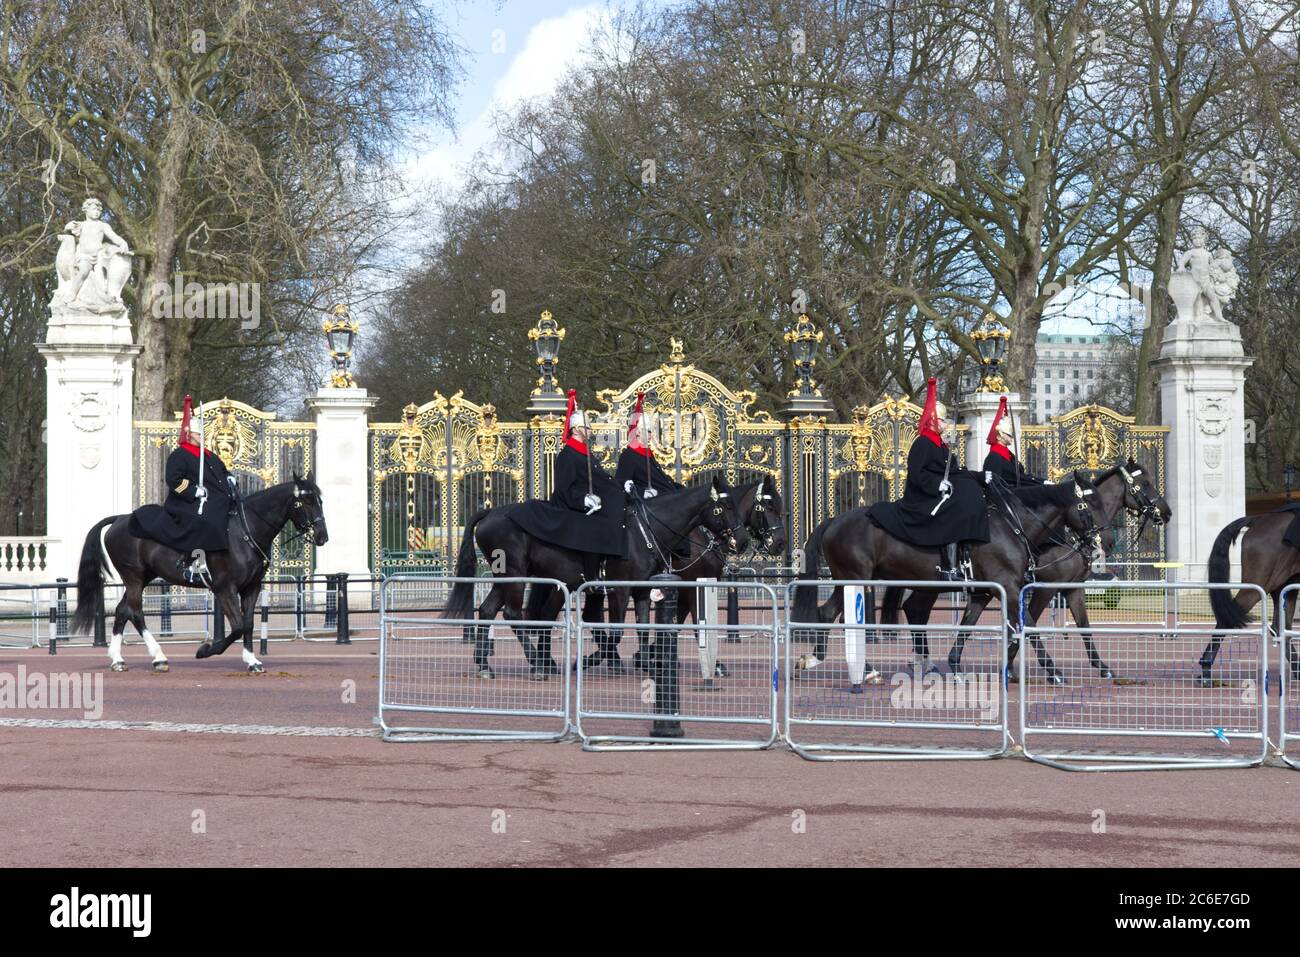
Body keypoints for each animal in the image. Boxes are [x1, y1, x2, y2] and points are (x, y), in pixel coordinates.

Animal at [69, 475, 330, 670]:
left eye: (320, 500)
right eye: (306, 501)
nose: (322, 536)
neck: (245, 532)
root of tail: (121, 519)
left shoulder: (251, 587)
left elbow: (248, 624)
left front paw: (252, 660)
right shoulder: (225, 588)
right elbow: (238, 626)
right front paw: (206, 650)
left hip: (143, 578)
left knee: (123, 610)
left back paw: (118, 659)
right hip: (133, 577)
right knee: (135, 612)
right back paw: (158, 657)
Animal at [441, 478, 748, 681]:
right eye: (725, 506)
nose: (742, 541)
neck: (645, 531)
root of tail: (491, 511)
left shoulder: (643, 590)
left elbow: (644, 628)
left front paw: (647, 662)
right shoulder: (620, 591)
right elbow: (616, 632)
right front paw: (595, 660)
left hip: (506, 578)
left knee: (488, 610)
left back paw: (486, 665)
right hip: (515, 574)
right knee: (513, 614)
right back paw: (538, 665)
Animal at [785, 468, 1102, 681]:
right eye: (1088, 507)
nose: (1096, 548)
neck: (1012, 524)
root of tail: (833, 520)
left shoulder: (988, 592)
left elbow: (971, 627)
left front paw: (958, 665)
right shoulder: (1009, 588)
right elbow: (1029, 627)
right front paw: (1053, 672)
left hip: (859, 581)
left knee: (831, 614)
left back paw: (838, 663)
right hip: (856, 579)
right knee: (845, 617)